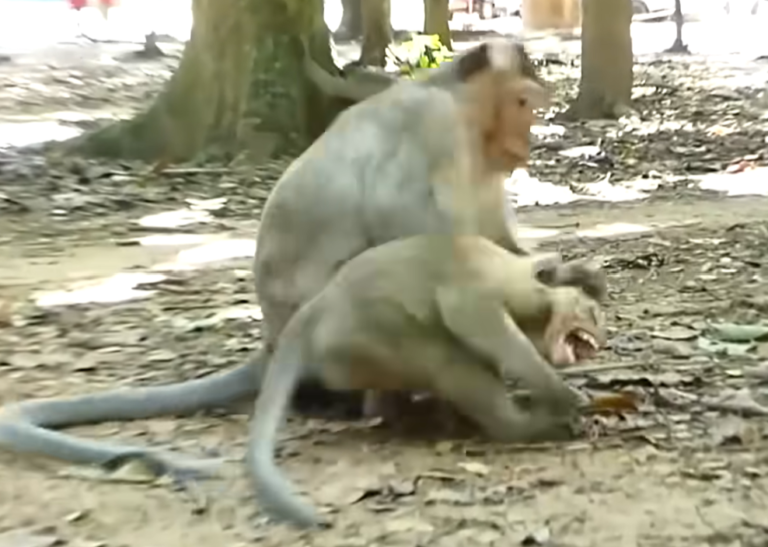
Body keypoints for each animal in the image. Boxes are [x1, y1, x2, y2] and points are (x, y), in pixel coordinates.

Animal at [246, 235, 606, 528]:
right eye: (591, 313)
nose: (600, 339)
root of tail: (316, 304)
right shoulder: (504, 287)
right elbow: (468, 314)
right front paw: (564, 395)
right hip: (368, 330)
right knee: (446, 359)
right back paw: (526, 427)